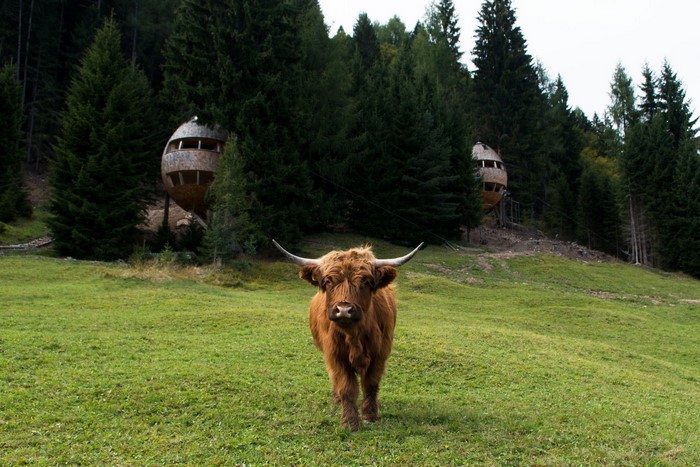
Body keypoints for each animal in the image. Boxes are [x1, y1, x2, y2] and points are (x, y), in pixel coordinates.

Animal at [272, 240, 423, 431]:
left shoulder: (380, 355)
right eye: (328, 281)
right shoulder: (335, 356)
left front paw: (370, 415)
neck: (354, 336)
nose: (344, 310)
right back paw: (336, 398)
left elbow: (371, 384)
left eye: (366, 282)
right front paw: (350, 422)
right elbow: (347, 387)